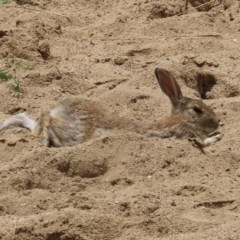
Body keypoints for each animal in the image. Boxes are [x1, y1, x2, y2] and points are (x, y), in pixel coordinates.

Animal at [0, 66, 222, 147]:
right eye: (197, 110)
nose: (218, 122)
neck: (181, 119)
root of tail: (59, 110)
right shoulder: (183, 134)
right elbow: (202, 142)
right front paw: (217, 136)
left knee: (26, 118)